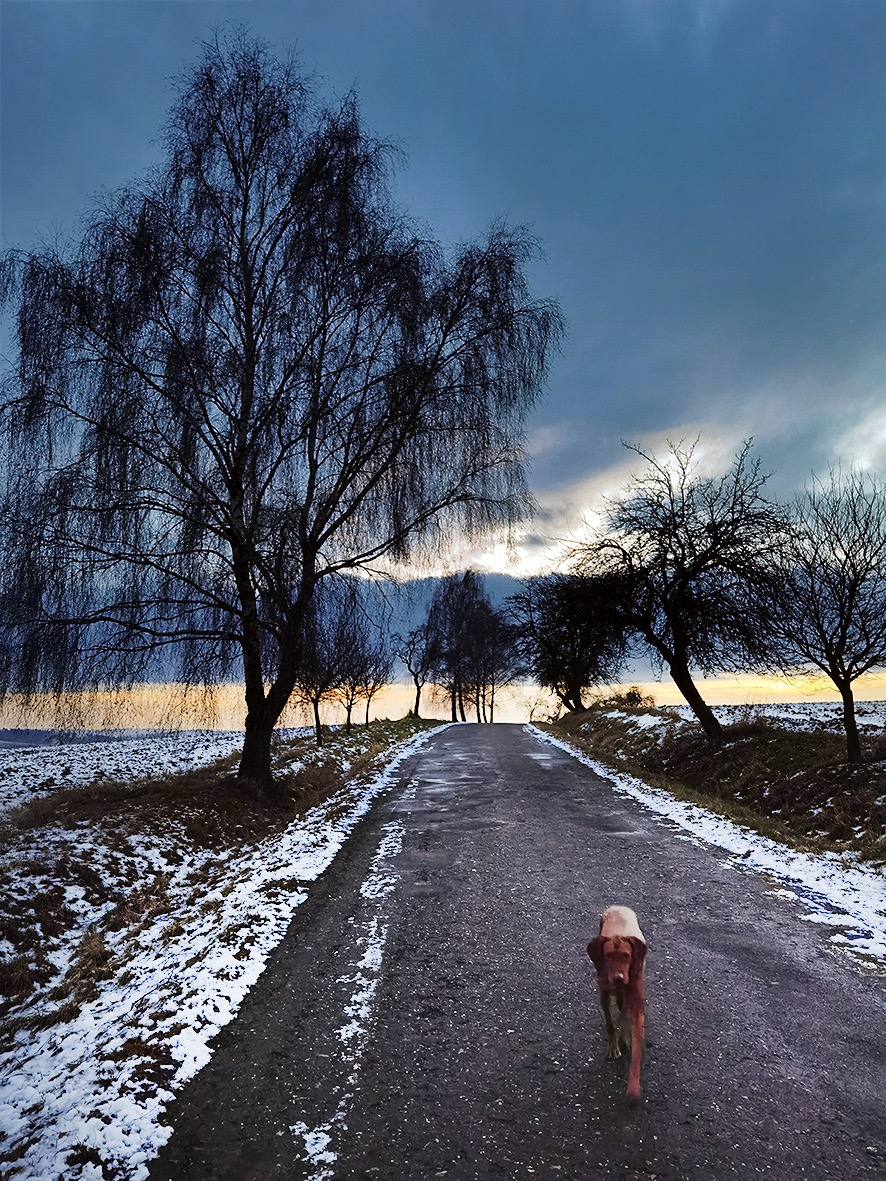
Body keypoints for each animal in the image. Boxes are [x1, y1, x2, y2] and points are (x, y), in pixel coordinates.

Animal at [590, 907, 647, 1100]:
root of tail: (618, 906)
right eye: (608, 956)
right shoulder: (604, 993)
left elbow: (624, 1019)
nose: (618, 978)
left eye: (626, 957)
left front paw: (624, 1039)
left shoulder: (630, 995)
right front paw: (613, 1045)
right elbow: (609, 1022)